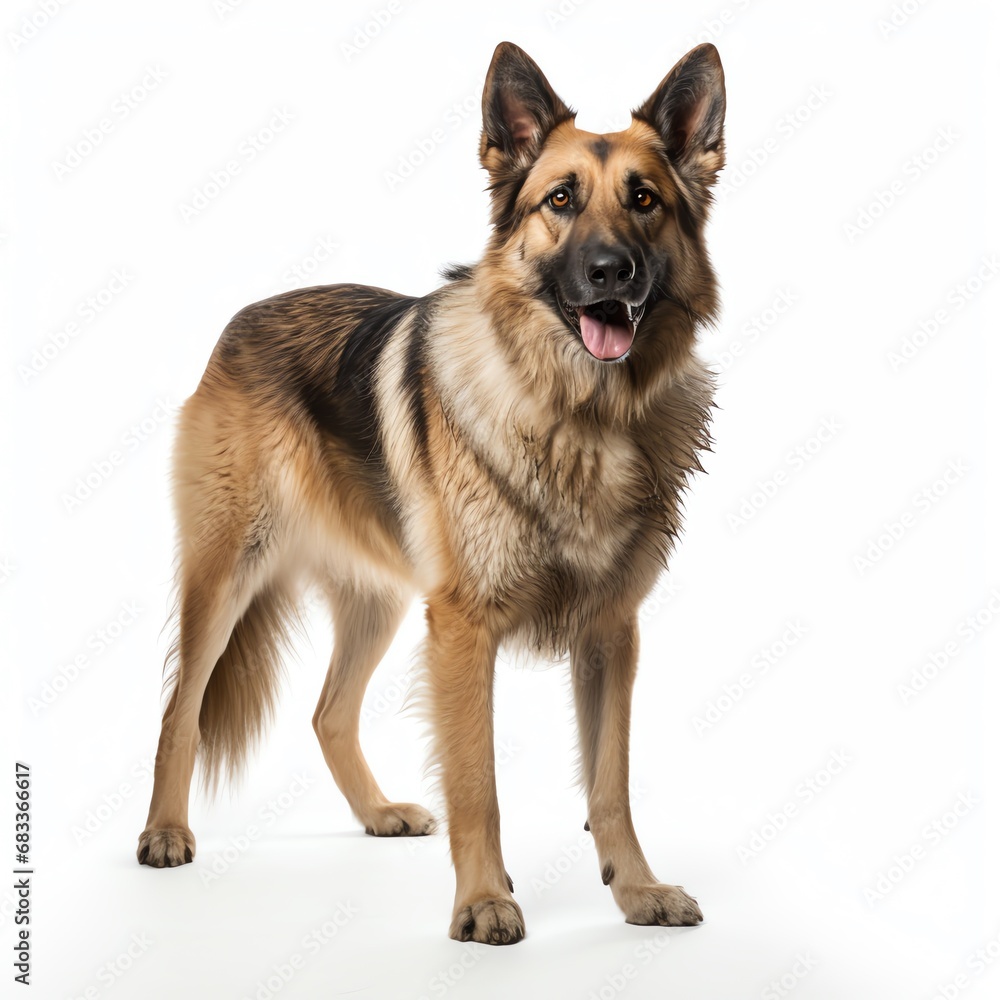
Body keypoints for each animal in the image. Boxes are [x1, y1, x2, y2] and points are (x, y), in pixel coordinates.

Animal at [137, 41, 728, 944]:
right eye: (560, 199)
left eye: (645, 200)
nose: (611, 272)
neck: (581, 417)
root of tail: (242, 318)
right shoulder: (462, 629)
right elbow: (477, 782)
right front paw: (483, 901)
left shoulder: (609, 635)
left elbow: (611, 783)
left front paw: (635, 891)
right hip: (226, 574)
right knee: (181, 709)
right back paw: (166, 832)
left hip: (376, 602)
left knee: (328, 712)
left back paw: (377, 813)